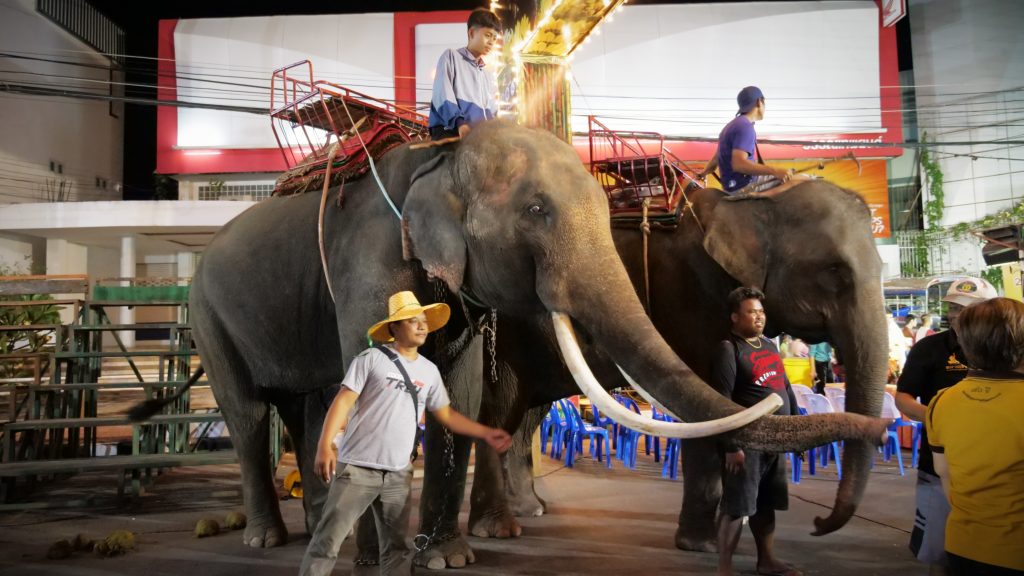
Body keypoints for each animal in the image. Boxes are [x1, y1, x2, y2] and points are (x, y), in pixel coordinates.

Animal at [467, 179, 889, 552]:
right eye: (835, 271)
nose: (819, 524)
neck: (751, 202)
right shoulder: (687, 299)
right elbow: (709, 415)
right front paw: (702, 545)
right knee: (501, 412)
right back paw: (496, 528)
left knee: (526, 417)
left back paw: (532, 509)